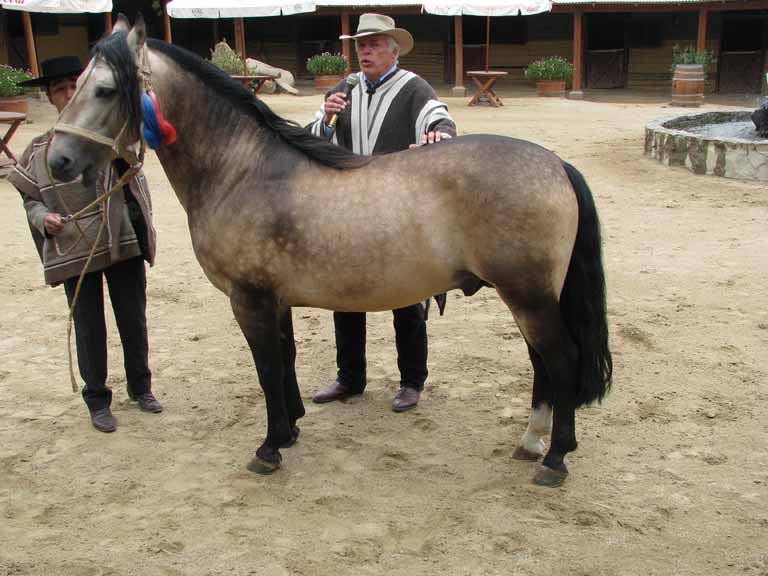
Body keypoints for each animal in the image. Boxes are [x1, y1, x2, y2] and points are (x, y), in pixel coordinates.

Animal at [46, 15, 612, 488]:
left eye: (104, 89)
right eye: (77, 87)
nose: (58, 160)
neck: (242, 171)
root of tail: (556, 164)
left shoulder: (248, 300)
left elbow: (267, 368)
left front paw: (269, 449)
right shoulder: (274, 300)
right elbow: (285, 361)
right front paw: (291, 429)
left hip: (527, 295)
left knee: (560, 359)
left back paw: (554, 458)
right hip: (528, 297)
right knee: (542, 362)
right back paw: (531, 441)